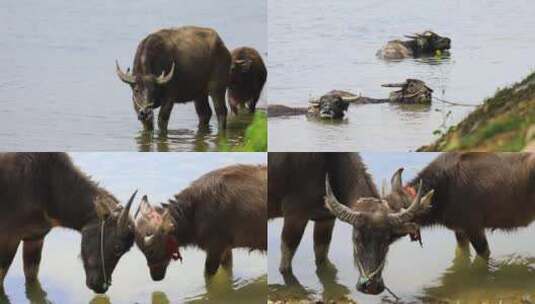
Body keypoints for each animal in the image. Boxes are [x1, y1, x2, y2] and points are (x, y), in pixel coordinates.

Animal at [135, 164, 266, 280]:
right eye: (142, 251)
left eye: (151, 250)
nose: (155, 277)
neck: (192, 216)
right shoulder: (226, 248)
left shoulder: (215, 248)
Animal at [270, 153, 378, 288]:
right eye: (358, 239)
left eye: (390, 240)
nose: (372, 283)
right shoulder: (294, 216)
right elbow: (285, 263)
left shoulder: (326, 219)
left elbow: (322, 256)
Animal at [326, 153, 535, 296]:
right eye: (356, 238)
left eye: (385, 238)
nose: (369, 285)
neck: (445, 189)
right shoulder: (460, 230)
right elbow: (461, 256)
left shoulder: (474, 227)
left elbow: (484, 256)